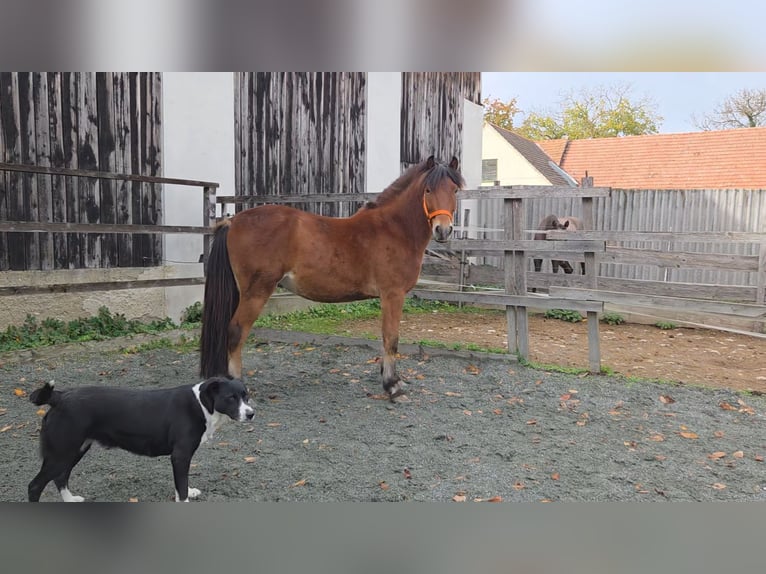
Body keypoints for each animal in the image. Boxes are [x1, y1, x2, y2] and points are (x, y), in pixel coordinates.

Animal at [200, 155, 463, 400]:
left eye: (454, 190)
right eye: (428, 190)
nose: (443, 230)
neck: (394, 229)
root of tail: (233, 222)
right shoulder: (392, 295)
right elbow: (391, 338)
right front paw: (393, 386)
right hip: (257, 291)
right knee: (236, 332)